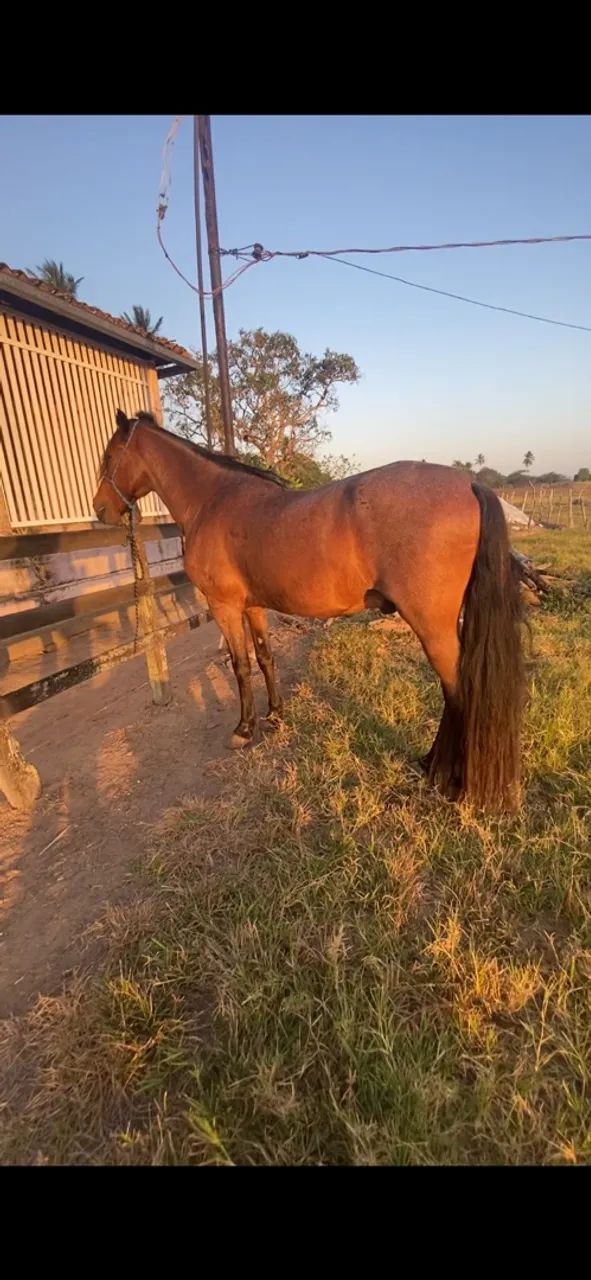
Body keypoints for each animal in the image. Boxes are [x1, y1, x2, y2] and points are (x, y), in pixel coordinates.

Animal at [93, 409, 525, 811]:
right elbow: (264, 658)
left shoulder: (225, 607)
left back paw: (448, 780)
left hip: (431, 626)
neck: (213, 501)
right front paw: (276, 715)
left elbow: (240, 667)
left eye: (110, 454)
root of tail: (469, 484)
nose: (100, 510)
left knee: (456, 691)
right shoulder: (254, 607)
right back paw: (430, 764)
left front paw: (244, 729)